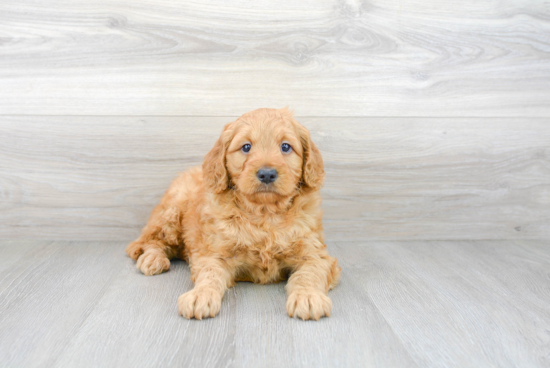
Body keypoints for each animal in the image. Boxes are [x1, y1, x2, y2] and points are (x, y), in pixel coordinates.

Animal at [126, 106, 340, 320]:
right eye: (246, 147)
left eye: (286, 147)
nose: (267, 174)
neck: (265, 213)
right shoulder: (215, 252)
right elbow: (210, 273)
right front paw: (200, 295)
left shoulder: (315, 254)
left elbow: (309, 274)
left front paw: (308, 296)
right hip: (171, 211)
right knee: (153, 240)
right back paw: (152, 259)